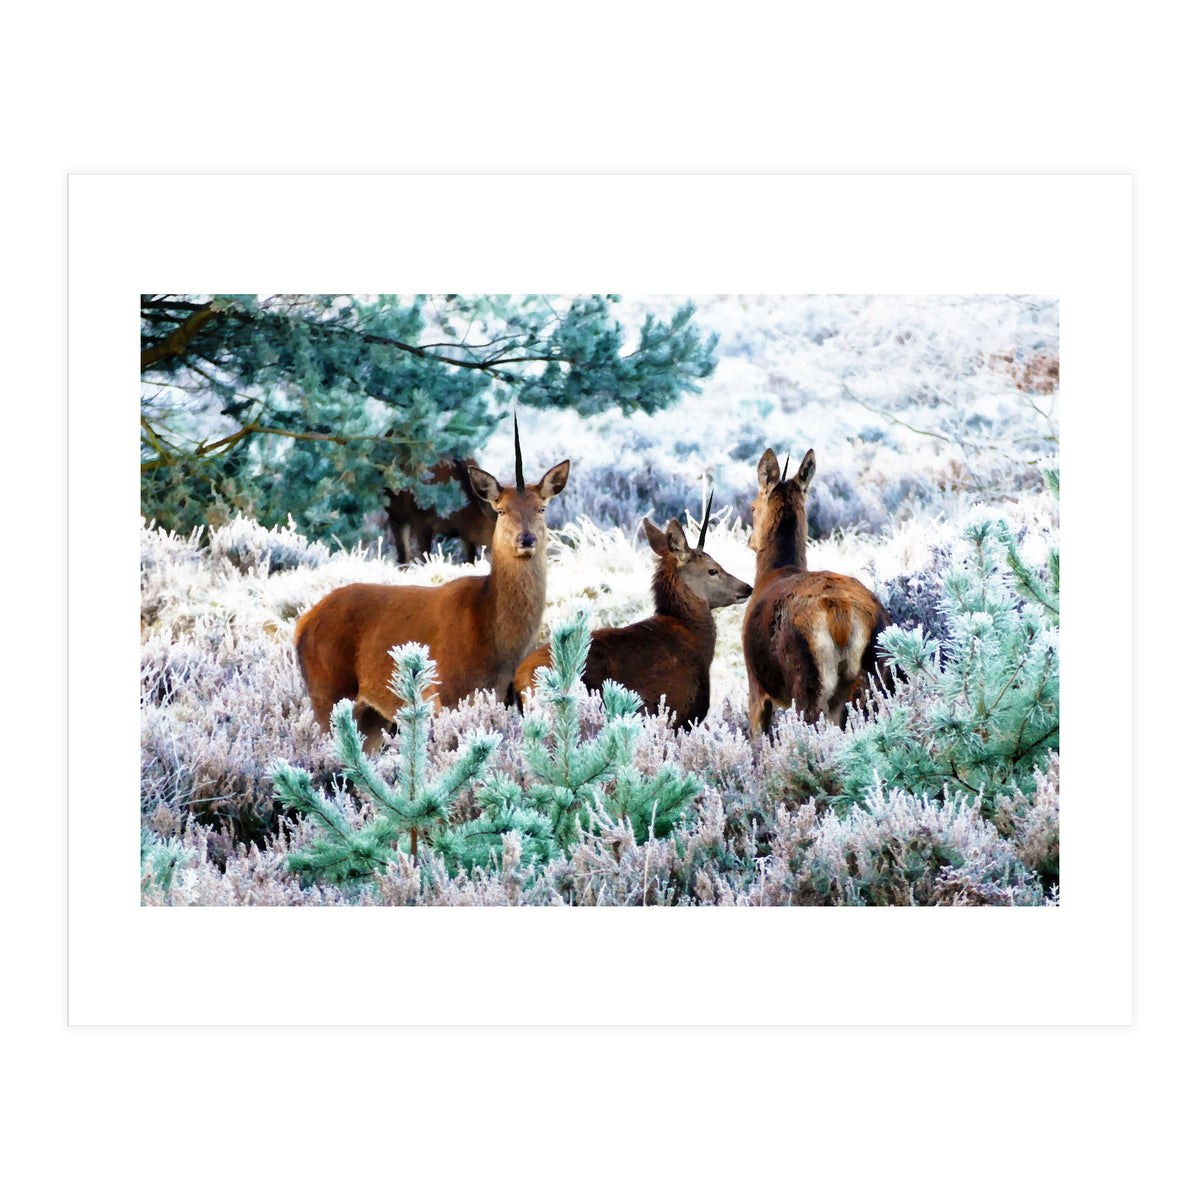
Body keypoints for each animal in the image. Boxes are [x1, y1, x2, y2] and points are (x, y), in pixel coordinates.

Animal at [295, 415, 569, 749]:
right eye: (501, 510)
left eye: (542, 508)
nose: (526, 539)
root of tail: (301, 624)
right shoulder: (444, 695)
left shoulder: (504, 698)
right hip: (327, 691)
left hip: (372, 716)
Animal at [742, 447, 890, 737]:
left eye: (752, 507)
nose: (750, 540)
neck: (772, 573)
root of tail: (841, 615)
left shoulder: (756, 685)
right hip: (879, 672)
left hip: (807, 681)